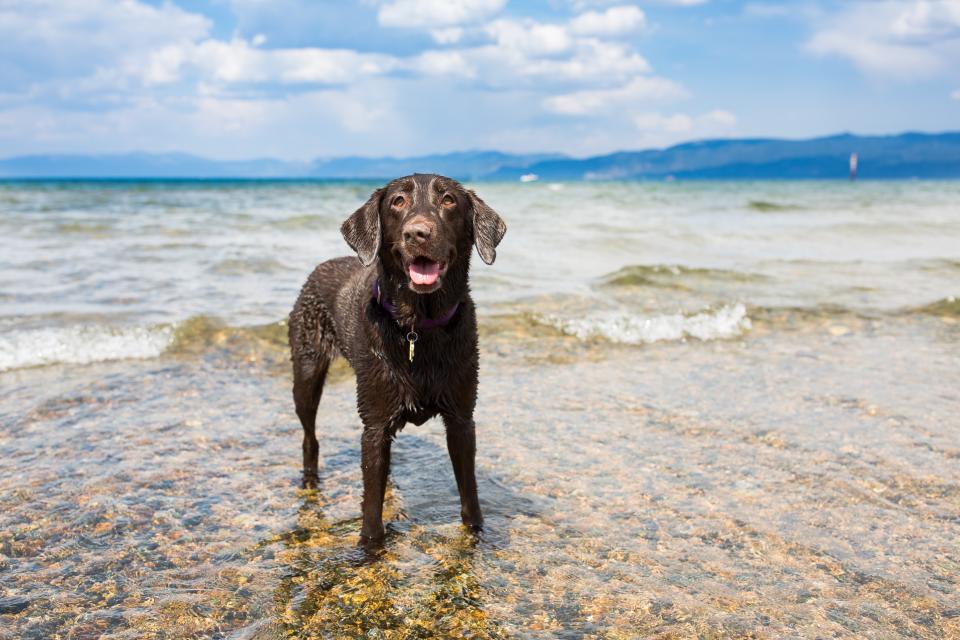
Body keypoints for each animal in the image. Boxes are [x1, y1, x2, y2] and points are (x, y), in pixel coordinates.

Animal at [286, 172, 506, 544]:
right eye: (397, 201)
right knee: (309, 438)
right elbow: (371, 514)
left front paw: (475, 535)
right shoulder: (374, 424)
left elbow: (470, 495)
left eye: (448, 199)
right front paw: (370, 547)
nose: (418, 233)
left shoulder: (462, 420)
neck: (419, 326)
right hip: (306, 371)